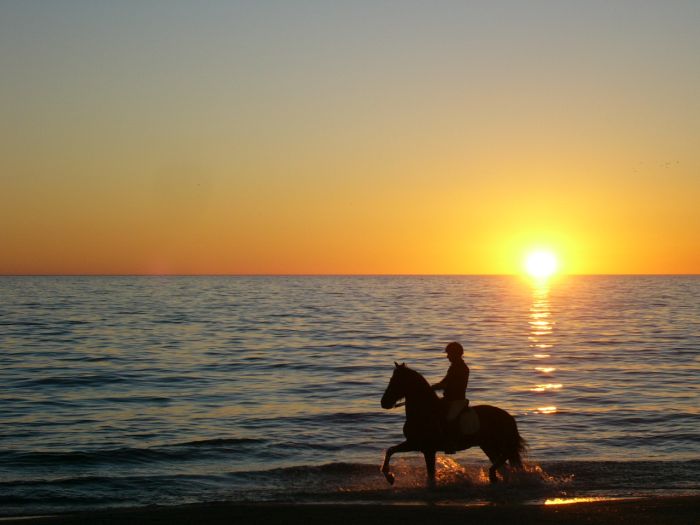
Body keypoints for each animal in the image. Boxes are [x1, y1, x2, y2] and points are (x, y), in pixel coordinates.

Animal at [380, 362, 528, 486]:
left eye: (395, 381)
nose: (383, 402)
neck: (425, 411)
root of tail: (508, 417)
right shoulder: (416, 444)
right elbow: (390, 450)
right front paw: (390, 477)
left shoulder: (425, 448)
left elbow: (430, 474)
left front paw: (390, 477)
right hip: (488, 446)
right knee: (504, 465)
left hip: (495, 444)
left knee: (506, 459)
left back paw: (495, 476)